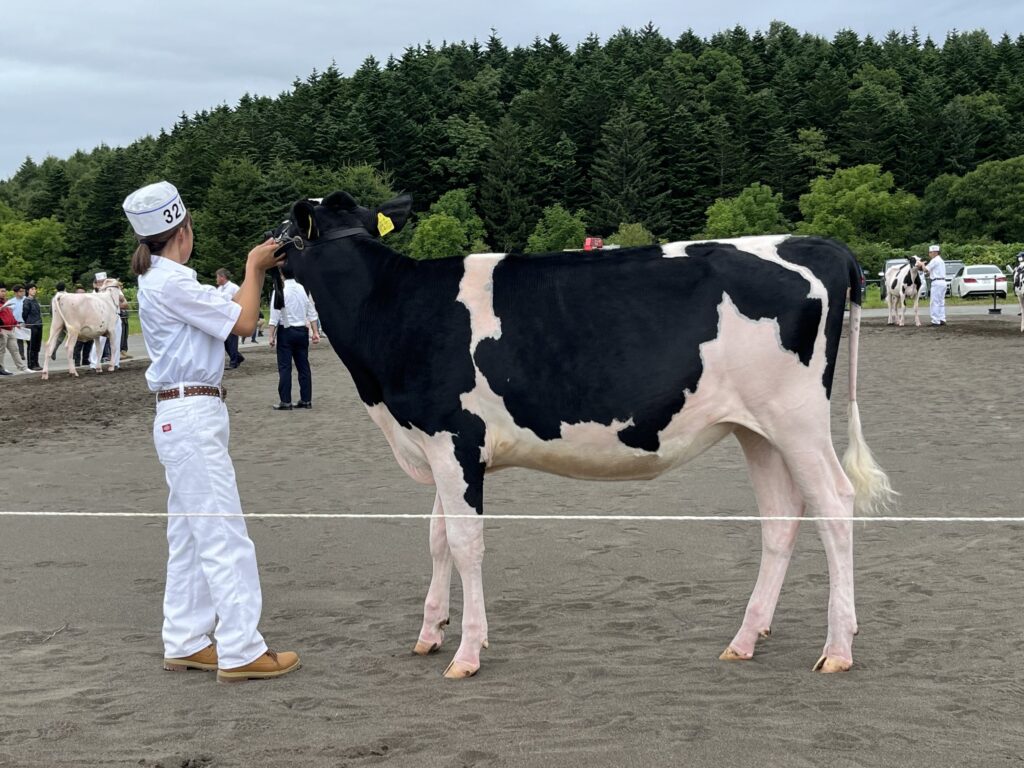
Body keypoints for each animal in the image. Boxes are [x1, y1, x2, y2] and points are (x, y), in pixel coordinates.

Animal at [274, 192, 897, 679]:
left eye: (285, 232)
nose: (269, 258)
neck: (394, 310)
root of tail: (820, 245)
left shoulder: (454, 439)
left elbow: (465, 542)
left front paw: (467, 652)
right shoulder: (441, 444)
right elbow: (436, 537)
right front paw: (430, 633)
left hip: (797, 419)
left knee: (834, 504)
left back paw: (837, 647)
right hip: (758, 429)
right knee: (781, 517)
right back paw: (744, 640)